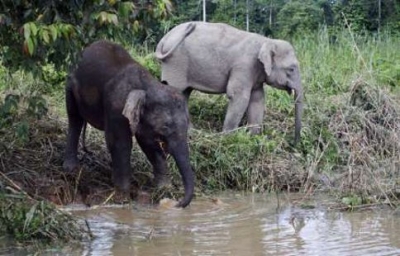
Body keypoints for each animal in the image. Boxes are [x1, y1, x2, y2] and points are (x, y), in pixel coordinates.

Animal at [63, 40, 195, 208]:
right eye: (165, 127)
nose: (177, 203)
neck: (147, 85)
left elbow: (149, 144)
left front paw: (164, 189)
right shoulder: (117, 108)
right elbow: (120, 143)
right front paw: (123, 197)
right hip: (70, 85)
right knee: (74, 118)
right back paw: (71, 169)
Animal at [154, 21, 304, 145]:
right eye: (291, 69)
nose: (293, 143)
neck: (266, 41)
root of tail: (164, 39)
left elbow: (257, 99)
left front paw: (253, 137)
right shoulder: (244, 66)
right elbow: (239, 97)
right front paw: (228, 138)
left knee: (184, 94)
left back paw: (191, 131)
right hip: (175, 63)